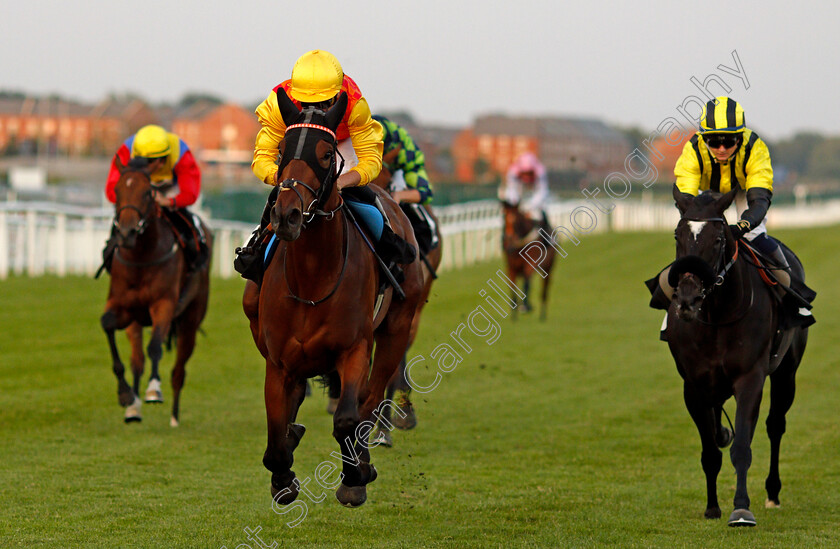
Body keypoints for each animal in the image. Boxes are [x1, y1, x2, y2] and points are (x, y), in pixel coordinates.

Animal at [100, 156, 212, 426]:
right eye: (117, 190)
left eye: (147, 193)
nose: (126, 233)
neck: (142, 256)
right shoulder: (122, 307)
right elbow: (108, 326)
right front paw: (126, 395)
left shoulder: (164, 304)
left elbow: (155, 346)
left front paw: (153, 390)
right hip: (136, 322)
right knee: (137, 360)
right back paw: (133, 408)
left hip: (190, 321)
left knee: (179, 369)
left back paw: (174, 417)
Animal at [240, 90, 424, 506]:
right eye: (282, 151)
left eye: (325, 154)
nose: (287, 215)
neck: (312, 280)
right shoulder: (278, 362)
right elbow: (276, 435)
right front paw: (282, 478)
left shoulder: (354, 348)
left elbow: (347, 419)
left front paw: (355, 477)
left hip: (397, 327)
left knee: (371, 400)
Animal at [668, 188, 812, 528]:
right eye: (678, 235)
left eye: (719, 239)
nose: (687, 300)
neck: (716, 315)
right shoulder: (694, 385)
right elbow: (711, 450)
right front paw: (712, 507)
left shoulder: (750, 378)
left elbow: (743, 447)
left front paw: (741, 509)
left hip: (787, 371)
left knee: (776, 425)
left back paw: (773, 493)